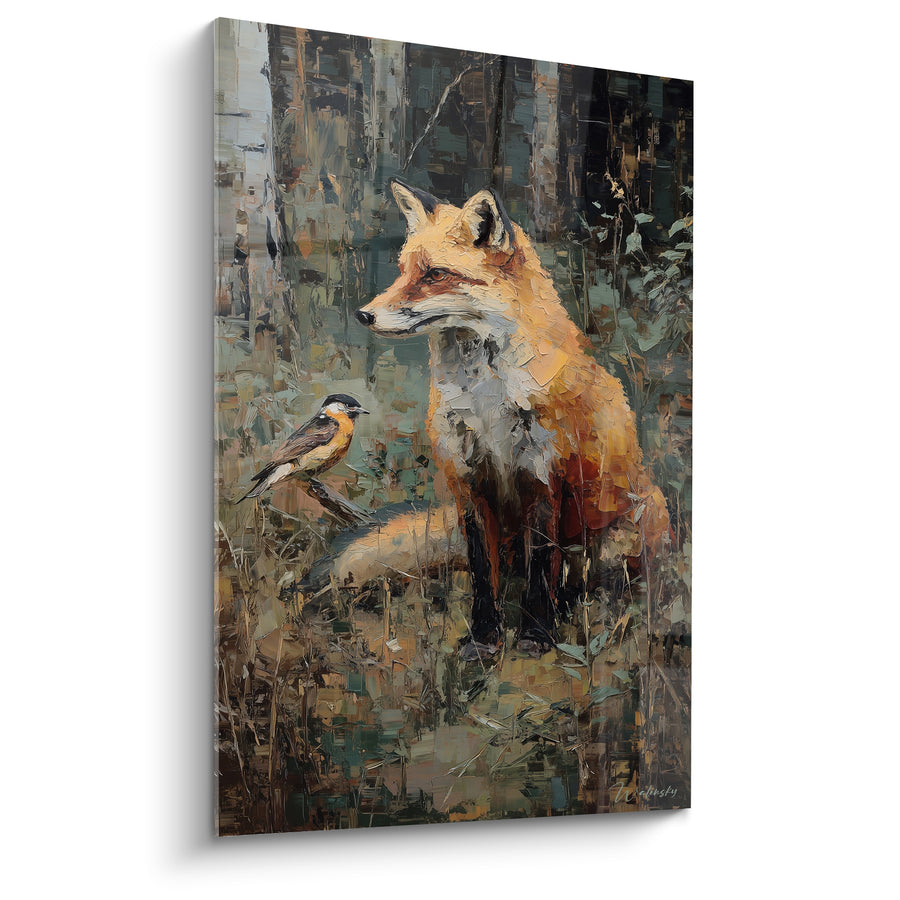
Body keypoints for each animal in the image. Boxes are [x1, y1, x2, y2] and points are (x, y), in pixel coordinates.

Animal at [354, 178, 669, 658]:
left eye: (435, 275)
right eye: (403, 270)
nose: (364, 314)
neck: (485, 400)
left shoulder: (542, 476)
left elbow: (542, 566)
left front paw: (536, 634)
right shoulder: (469, 483)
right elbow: (483, 573)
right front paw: (484, 638)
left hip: (628, 526)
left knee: (596, 580)